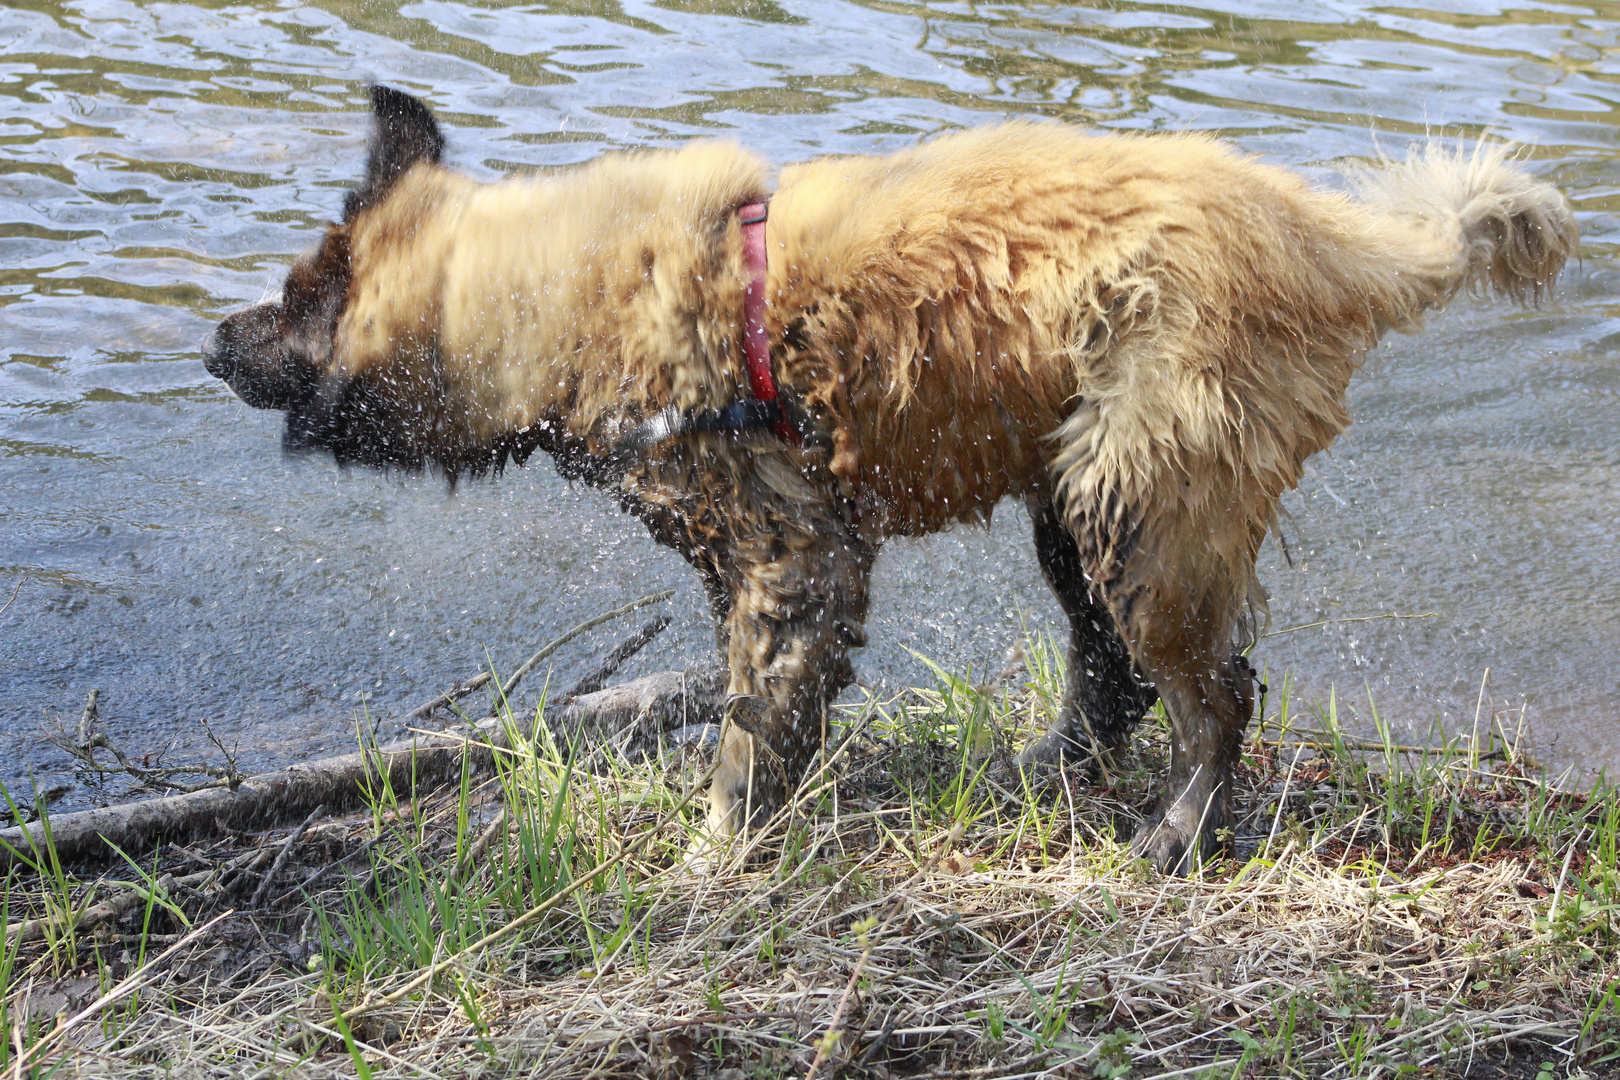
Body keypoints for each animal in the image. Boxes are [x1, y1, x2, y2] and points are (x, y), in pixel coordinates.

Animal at [208, 88, 1574, 874]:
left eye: (293, 300)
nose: (212, 344)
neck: (564, 292)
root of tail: (1328, 240)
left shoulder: (793, 558)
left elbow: (750, 728)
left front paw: (718, 853)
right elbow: (771, 713)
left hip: (1140, 512)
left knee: (1218, 695)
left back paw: (1175, 835)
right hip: (1076, 510)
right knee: (1115, 678)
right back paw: (1048, 777)